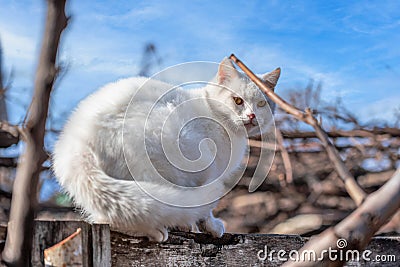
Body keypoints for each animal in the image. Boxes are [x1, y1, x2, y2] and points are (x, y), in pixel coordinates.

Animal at [52, 58, 278, 243]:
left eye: (261, 104)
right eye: (237, 100)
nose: (252, 116)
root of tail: (77, 142)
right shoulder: (210, 171)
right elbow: (206, 211)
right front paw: (211, 226)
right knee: (114, 217)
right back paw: (156, 230)